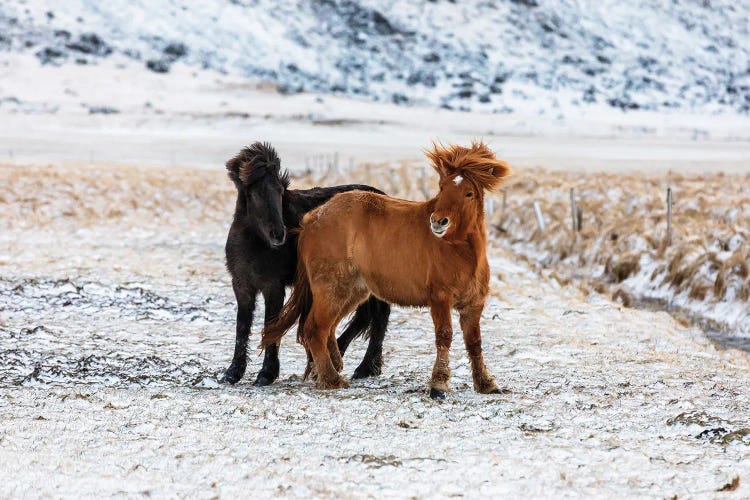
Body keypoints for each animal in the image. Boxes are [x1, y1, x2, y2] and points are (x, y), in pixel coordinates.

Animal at [223, 143, 390, 384]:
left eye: (280, 191)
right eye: (255, 193)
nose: (279, 234)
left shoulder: (273, 287)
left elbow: (271, 323)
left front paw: (266, 374)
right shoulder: (242, 285)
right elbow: (242, 327)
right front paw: (233, 372)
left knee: (379, 317)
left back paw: (363, 367)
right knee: (366, 316)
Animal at [262, 141, 512, 398]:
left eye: (469, 193)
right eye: (442, 188)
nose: (438, 222)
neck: (460, 251)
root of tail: (311, 219)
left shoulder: (474, 305)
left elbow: (474, 342)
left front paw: (486, 383)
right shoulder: (441, 299)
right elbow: (444, 336)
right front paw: (438, 385)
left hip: (352, 292)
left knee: (327, 328)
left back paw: (330, 370)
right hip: (332, 289)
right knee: (315, 329)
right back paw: (332, 379)